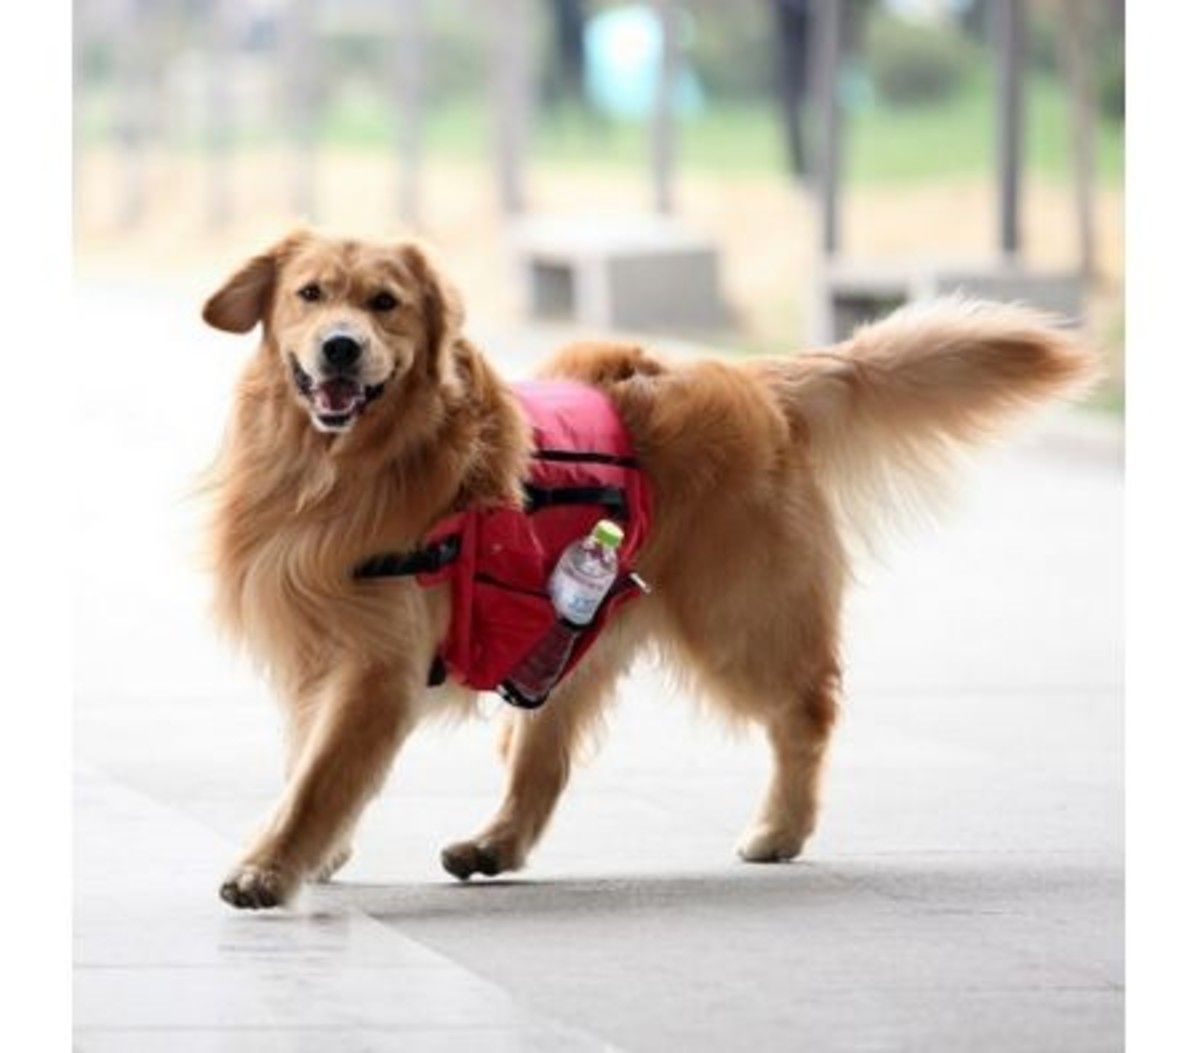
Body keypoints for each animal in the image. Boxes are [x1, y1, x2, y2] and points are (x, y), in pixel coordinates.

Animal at [201, 229, 1094, 906]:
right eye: (310, 294)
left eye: (385, 302)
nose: (341, 348)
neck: (338, 472)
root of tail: (756, 376)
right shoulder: (324, 649)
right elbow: (315, 762)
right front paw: (317, 854)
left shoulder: (377, 663)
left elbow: (320, 777)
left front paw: (270, 867)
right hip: (566, 626)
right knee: (545, 757)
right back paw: (495, 842)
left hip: (739, 618)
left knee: (806, 710)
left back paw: (782, 828)